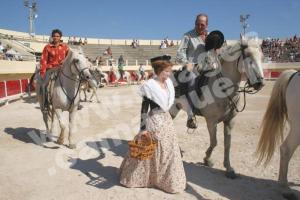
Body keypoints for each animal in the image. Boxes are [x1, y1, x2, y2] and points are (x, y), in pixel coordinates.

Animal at [170, 37, 264, 178]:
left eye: (262, 57)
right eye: (247, 56)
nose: (260, 83)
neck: (221, 88)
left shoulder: (230, 121)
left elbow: (227, 144)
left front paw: (229, 168)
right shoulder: (211, 121)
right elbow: (214, 142)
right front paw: (207, 159)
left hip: (175, 108)